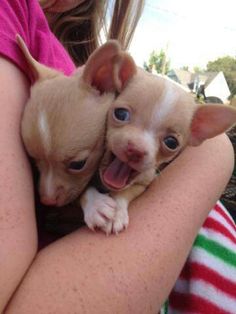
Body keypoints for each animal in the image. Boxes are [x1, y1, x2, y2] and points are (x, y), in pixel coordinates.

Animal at [81, 65, 236, 233]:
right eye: (120, 114)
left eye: (171, 143)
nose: (136, 149)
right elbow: (81, 190)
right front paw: (96, 205)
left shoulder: (143, 184)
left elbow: (124, 192)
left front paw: (117, 213)